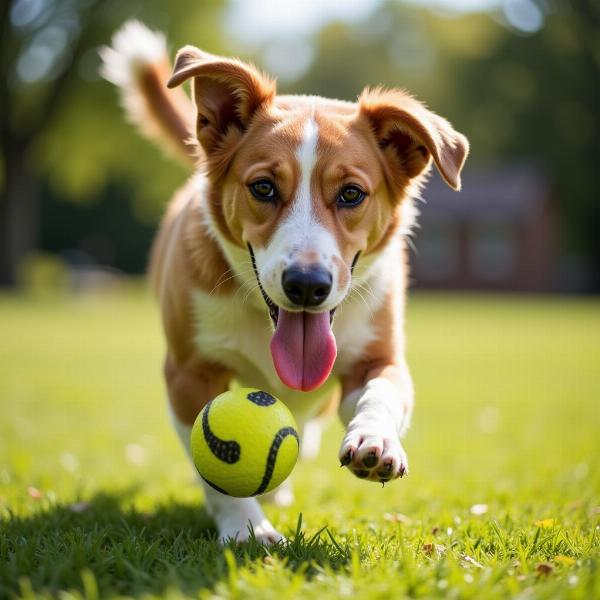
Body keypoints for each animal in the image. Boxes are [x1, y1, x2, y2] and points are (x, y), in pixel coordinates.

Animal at [101, 19, 468, 544]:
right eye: (263, 187)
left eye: (351, 193)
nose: (307, 285)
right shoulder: (189, 374)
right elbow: (213, 464)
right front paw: (246, 528)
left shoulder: (377, 357)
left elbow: (380, 392)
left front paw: (375, 440)